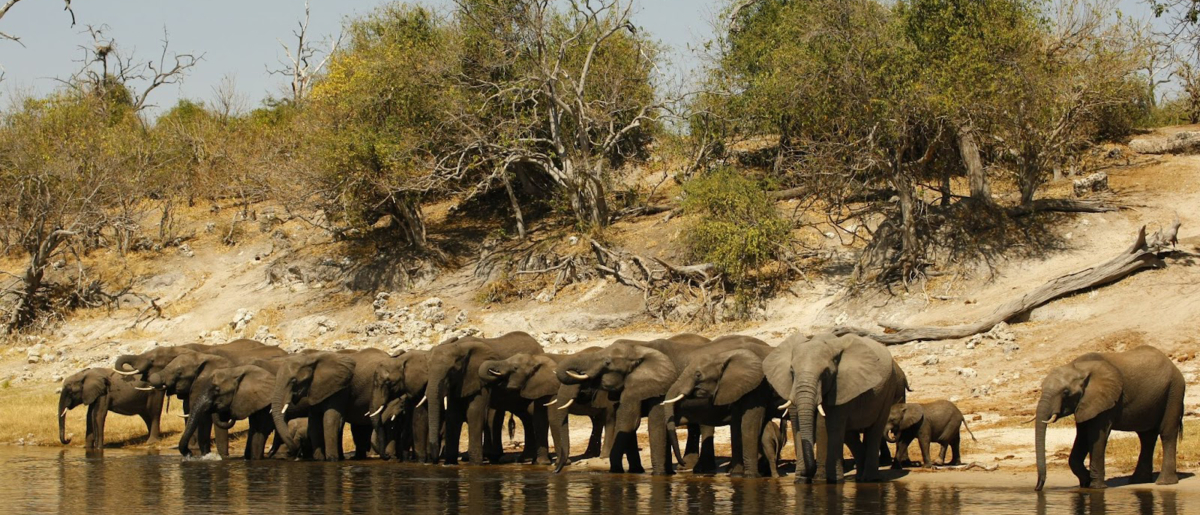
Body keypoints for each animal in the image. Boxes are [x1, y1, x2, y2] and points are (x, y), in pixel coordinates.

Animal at [425, 332, 544, 465]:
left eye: (452, 370)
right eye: (427, 369)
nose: (434, 460)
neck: (459, 347)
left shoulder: (478, 379)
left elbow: (474, 412)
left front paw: (475, 464)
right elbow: (453, 414)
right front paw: (450, 463)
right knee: (525, 416)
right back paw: (525, 458)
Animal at [557, 341, 679, 475]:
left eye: (607, 362)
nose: (556, 470)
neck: (637, 351)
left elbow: (629, 422)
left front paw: (615, 469)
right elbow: (629, 425)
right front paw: (635, 472)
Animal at [662, 338, 783, 477]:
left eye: (698, 375)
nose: (682, 464)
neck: (723, 356)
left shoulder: (759, 385)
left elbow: (750, 423)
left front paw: (750, 476)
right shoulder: (736, 387)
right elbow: (736, 425)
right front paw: (736, 474)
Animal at [764, 332, 907, 483]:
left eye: (826, 373)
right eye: (792, 371)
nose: (808, 474)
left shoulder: (841, 386)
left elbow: (827, 425)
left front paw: (825, 481)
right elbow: (799, 425)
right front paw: (801, 481)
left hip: (889, 389)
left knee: (875, 430)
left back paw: (869, 479)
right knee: (850, 434)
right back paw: (859, 478)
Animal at [1034, 346, 1185, 490]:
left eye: (1065, 392)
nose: (1037, 488)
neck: (1079, 368)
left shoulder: (1106, 401)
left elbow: (1097, 436)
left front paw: (1096, 487)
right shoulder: (1085, 403)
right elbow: (1082, 436)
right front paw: (1086, 482)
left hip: (1174, 392)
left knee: (1167, 434)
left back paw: (1164, 482)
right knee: (1146, 437)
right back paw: (1138, 481)